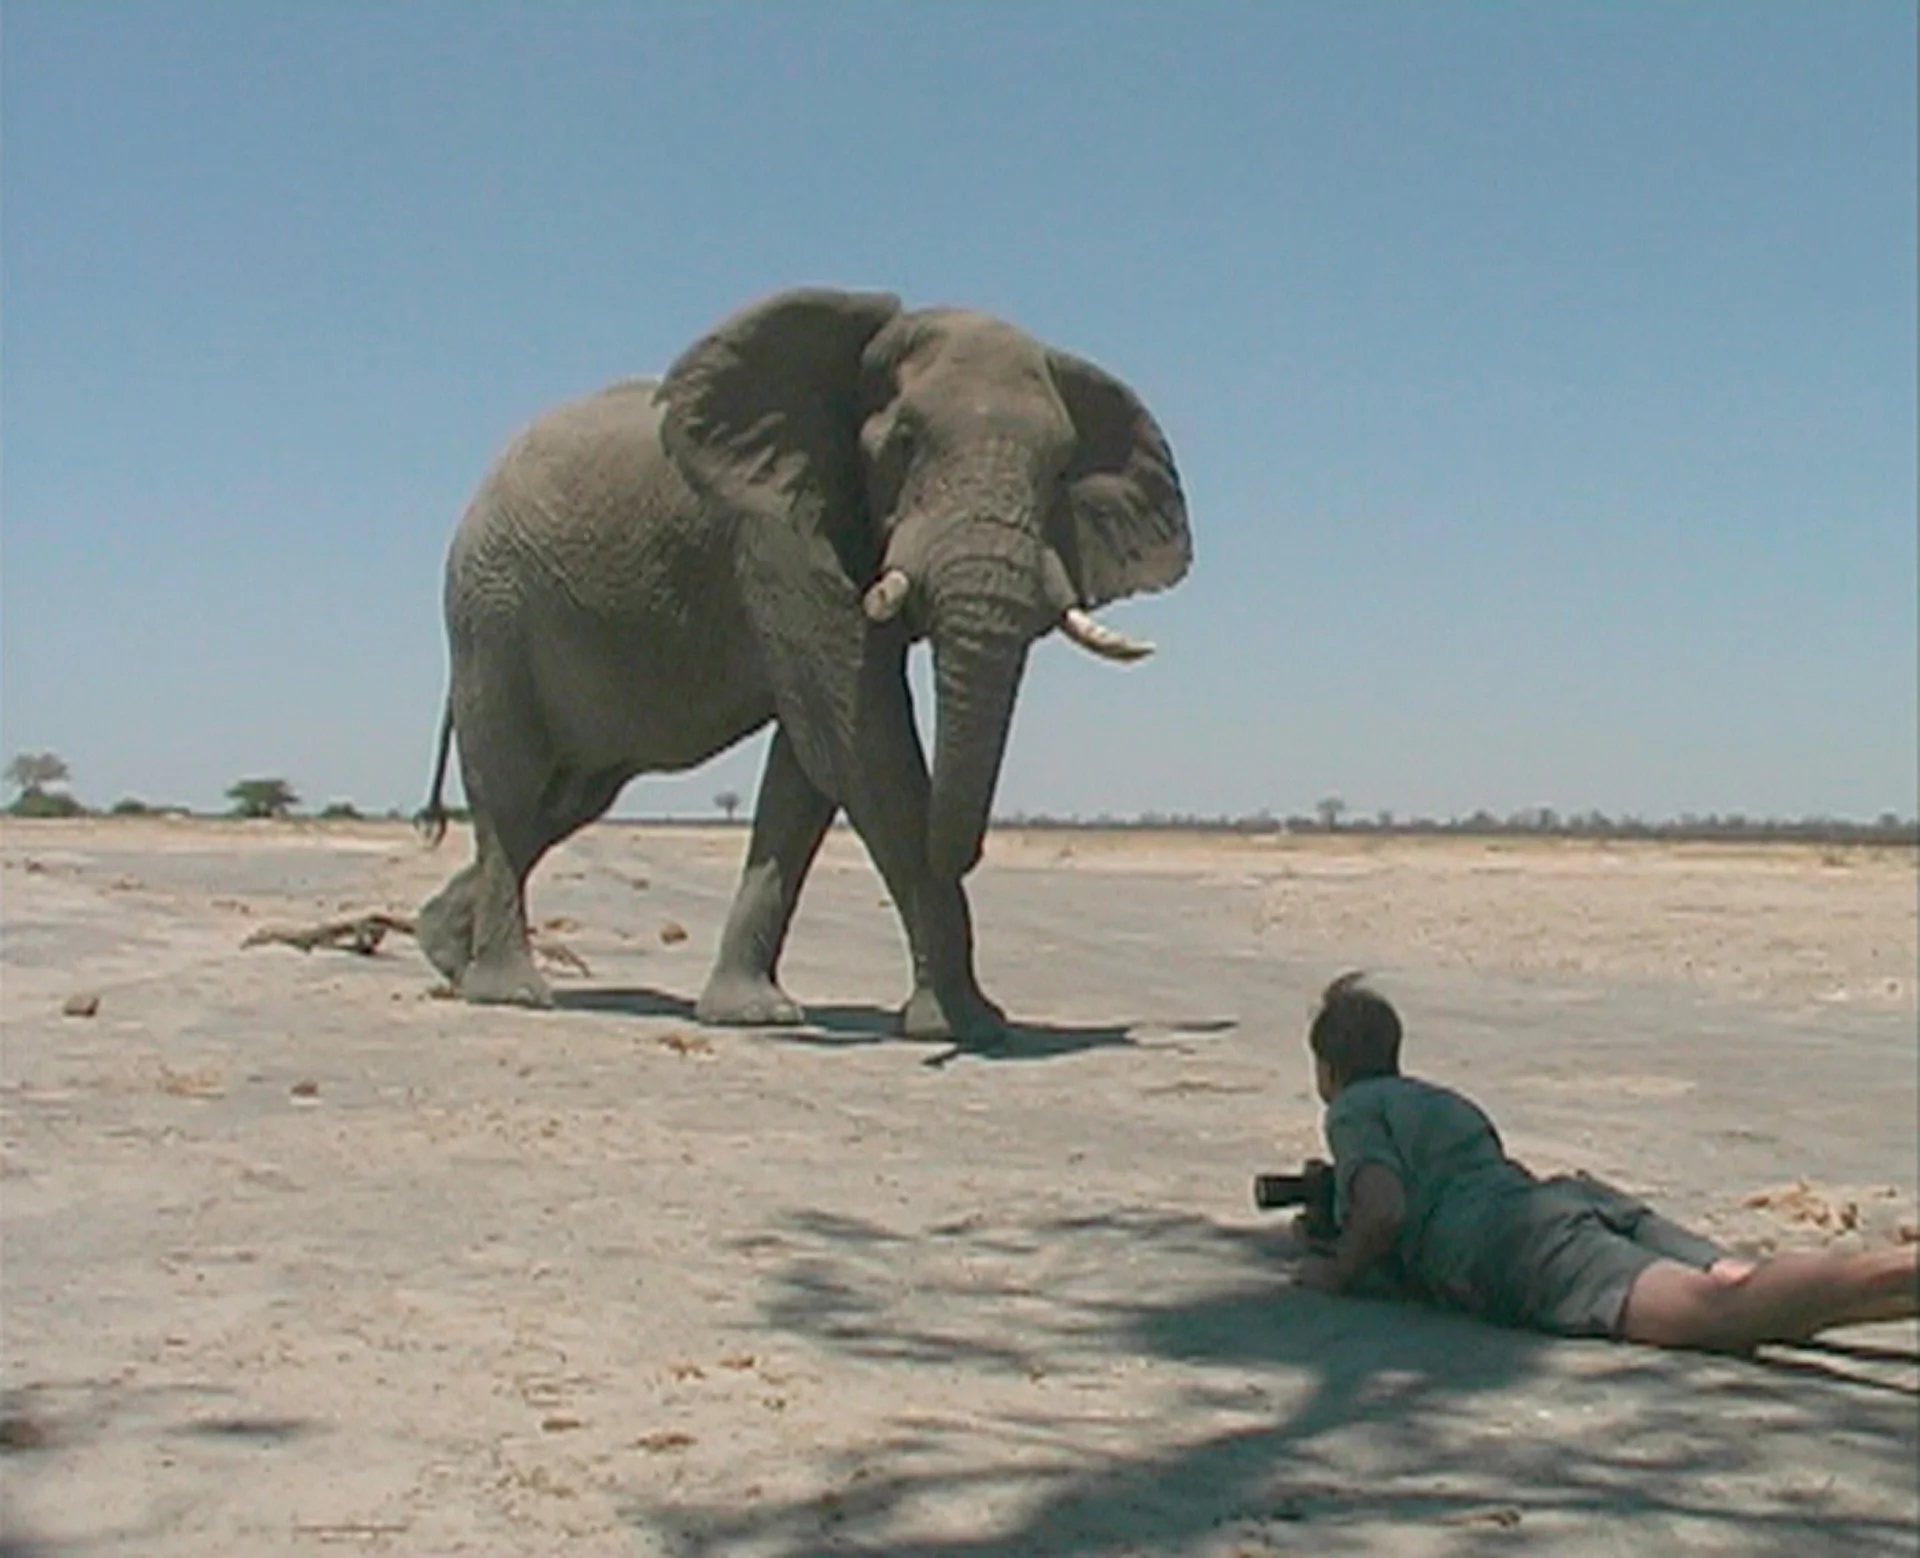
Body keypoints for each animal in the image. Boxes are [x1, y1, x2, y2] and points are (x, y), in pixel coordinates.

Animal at [414, 287, 1191, 1043]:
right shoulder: (779, 532)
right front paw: (965, 1026)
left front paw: (753, 1014)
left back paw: (443, 951)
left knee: (566, 800)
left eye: (1060, 471)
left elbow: (808, 774)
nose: (966, 856)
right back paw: (509, 991)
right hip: (490, 608)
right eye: (903, 444)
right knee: (511, 789)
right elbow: (863, 746)